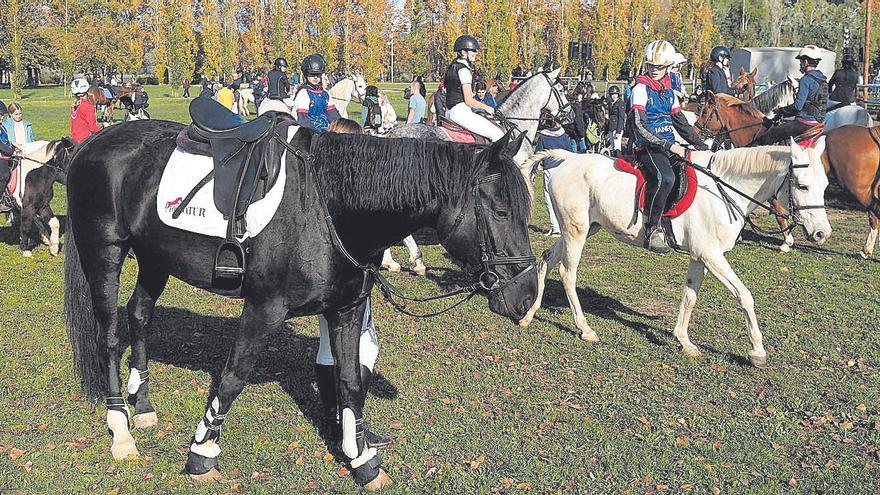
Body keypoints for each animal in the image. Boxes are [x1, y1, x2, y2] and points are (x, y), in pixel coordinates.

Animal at [65, 118, 536, 490]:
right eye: (499, 211)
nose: (528, 296)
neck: (326, 208)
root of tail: (92, 142)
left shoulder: (346, 310)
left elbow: (349, 382)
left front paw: (363, 461)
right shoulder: (263, 310)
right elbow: (232, 377)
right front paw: (202, 453)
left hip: (155, 258)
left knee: (139, 315)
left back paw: (142, 406)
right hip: (104, 254)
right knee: (109, 335)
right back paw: (121, 428)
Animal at [516, 141, 832, 366]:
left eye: (826, 185)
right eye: (803, 186)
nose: (822, 233)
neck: (723, 190)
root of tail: (567, 158)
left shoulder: (699, 256)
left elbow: (689, 297)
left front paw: (684, 341)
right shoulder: (712, 256)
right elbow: (744, 296)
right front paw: (757, 351)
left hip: (584, 229)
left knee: (545, 260)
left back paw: (529, 315)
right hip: (576, 231)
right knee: (567, 273)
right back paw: (585, 329)